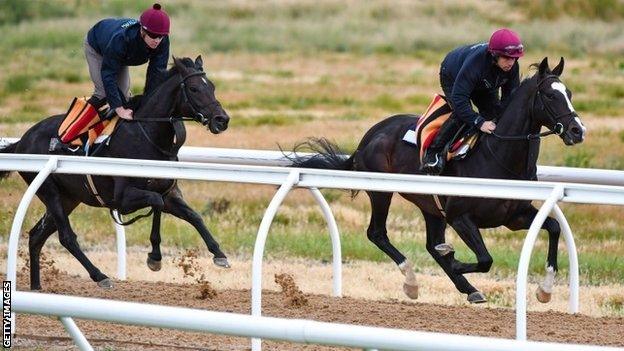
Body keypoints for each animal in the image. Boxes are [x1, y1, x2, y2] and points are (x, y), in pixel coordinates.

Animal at [1, 55, 230, 292]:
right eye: (194, 88)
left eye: (212, 87)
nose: (222, 120)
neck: (148, 136)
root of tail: (22, 141)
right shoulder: (123, 199)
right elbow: (156, 202)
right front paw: (155, 257)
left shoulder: (169, 194)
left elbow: (194, 216)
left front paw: (219, 254)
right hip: (50, 192)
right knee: (66, 237)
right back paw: (100, 276)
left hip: (69, 198)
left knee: (37, 236)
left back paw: (36, 287)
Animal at [292, 57, 584, 302]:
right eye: (550, 95)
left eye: (569, 94)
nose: (577, 130)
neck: (497, 156)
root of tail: (369, 136)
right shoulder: (460, 217)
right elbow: (485, 259)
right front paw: (455, 260)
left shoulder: (514, 217)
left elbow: (554, 228)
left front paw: (545, 290)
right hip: (382, 192)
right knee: (377, 233)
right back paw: (412, 280)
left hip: (430, 206)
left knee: (431, 245)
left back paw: (467, 287)